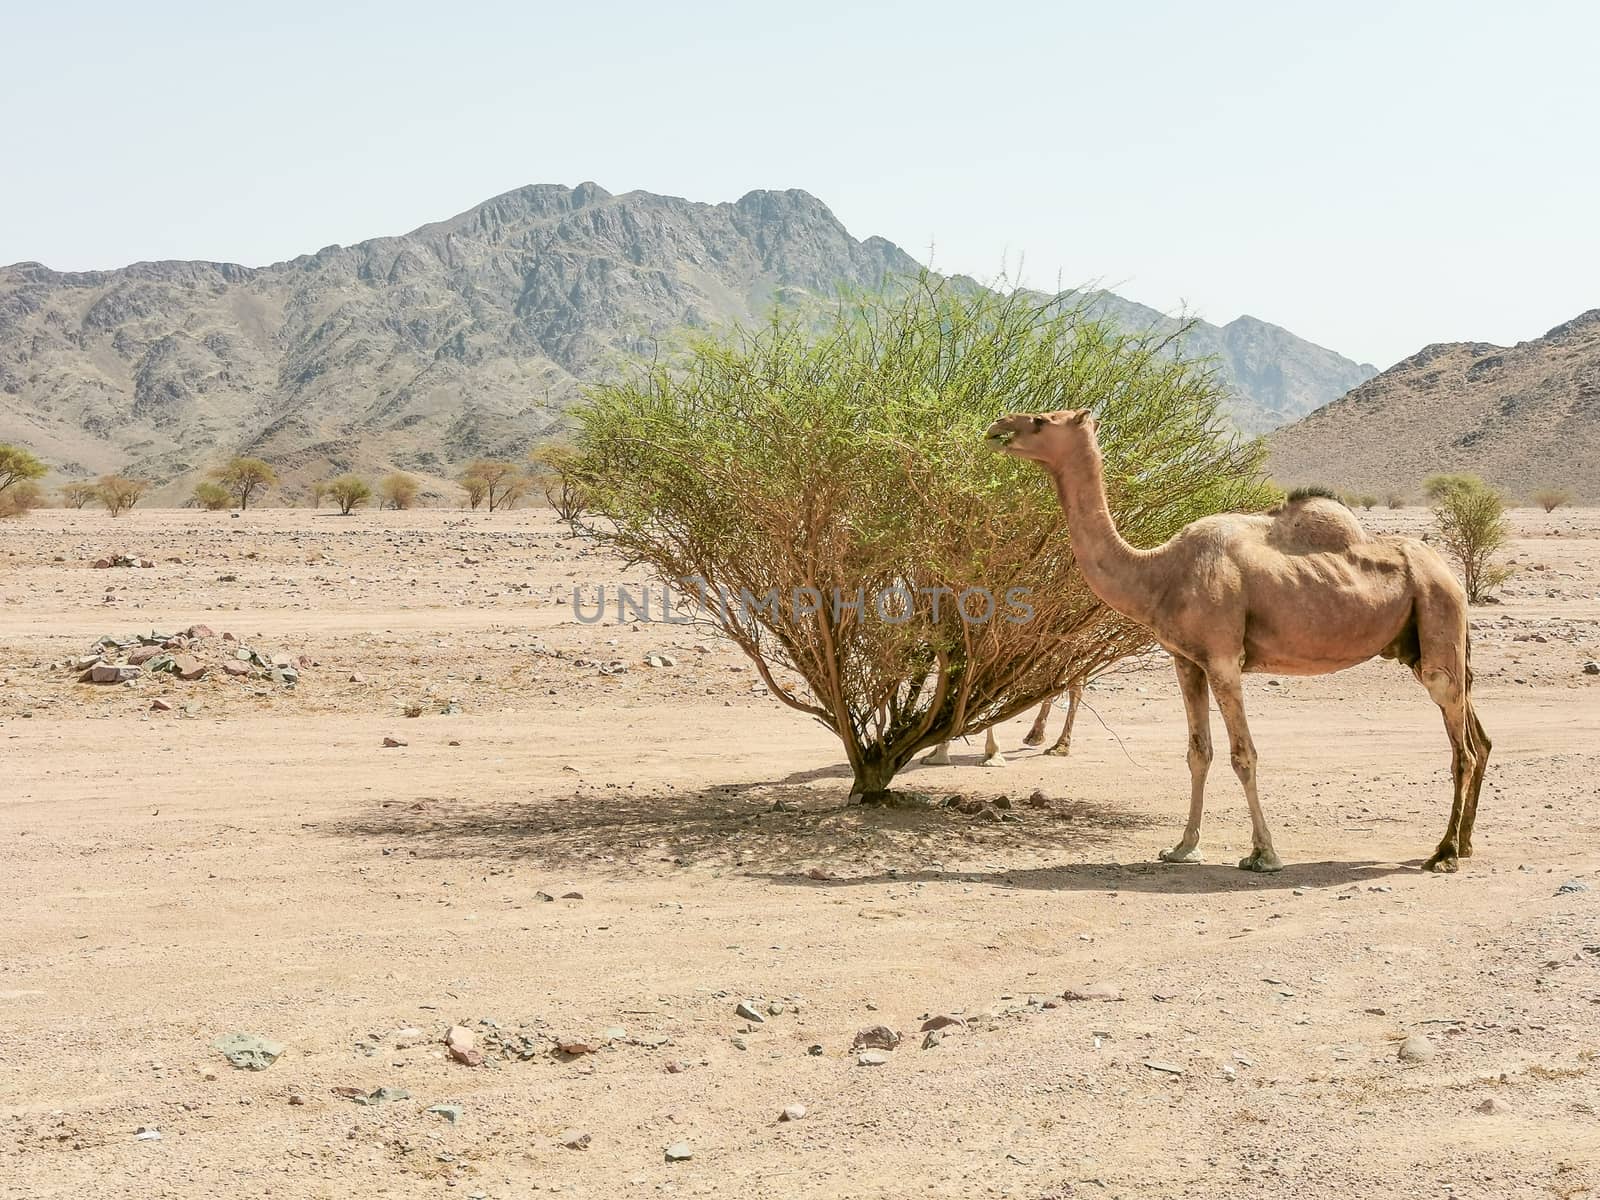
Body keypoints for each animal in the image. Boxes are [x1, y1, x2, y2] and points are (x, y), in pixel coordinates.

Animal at [979, 412, 1491, 876]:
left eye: (1042, 421)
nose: (996, 428)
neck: (1158, 572)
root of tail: (1448, 573)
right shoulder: (1187, 661)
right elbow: (1197, 752)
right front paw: (1183, 847)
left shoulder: (1224, 660)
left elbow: (1243, 755)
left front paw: (1264, 855)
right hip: (1422, 644)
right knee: (1478, 737)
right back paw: (1466, 844)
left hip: (1437, 619)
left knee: (1461, 747)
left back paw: (1443, 853)